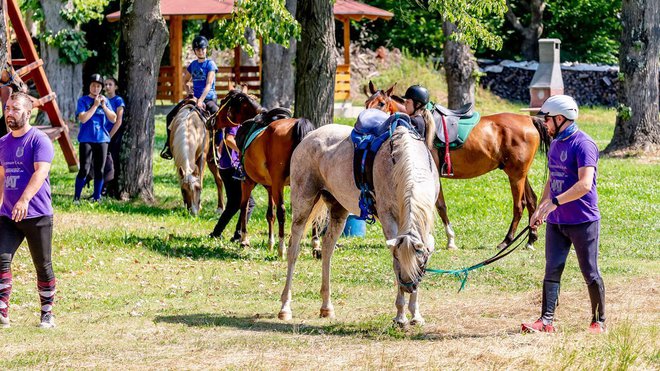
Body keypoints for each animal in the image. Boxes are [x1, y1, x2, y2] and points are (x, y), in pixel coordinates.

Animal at [214, 87, 320, 258]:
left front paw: (244, 240)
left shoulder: (248, 181)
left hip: (276, 183)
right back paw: (315, 246)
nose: (212, 121)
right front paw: (270, 242)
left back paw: (282, 249)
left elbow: (244, 207)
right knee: (311, 210)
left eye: (224, 101)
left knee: (283, 211)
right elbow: (270, 213)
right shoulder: (270, 186)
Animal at [278, 120, 438, 326]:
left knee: (327, 249)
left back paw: (326, 307)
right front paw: (400, 316)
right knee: (293, 250)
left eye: (422, 262)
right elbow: (394, 264)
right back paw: (285, 308)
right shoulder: (389, 220)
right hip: (303, 206)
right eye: (398, 258)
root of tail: (309, 137)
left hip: (338, 210)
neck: (402, 165)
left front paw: (416, 315)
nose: (409, 287)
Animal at [366, 81, 552, 250]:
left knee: (519, 206)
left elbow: (439, 206)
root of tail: (529, 119)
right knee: (532, 201)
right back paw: (530, 240)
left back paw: (507, 240)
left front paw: (450, 240)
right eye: (367, 102)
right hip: (519, 173)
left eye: (381, 103)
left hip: (515, 175)